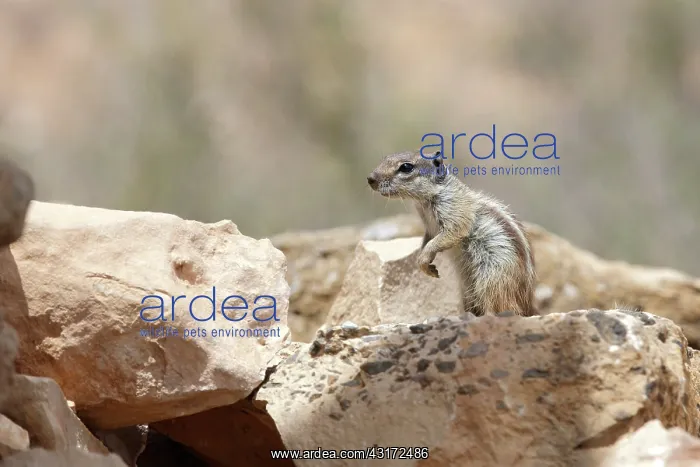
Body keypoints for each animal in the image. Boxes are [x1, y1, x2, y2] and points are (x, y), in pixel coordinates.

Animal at [366, 149, 537, 317]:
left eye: (406, 167)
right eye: (386, 158)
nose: (370, 179)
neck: (424, 202)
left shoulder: (454, 211)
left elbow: (450, 234)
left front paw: (423, 259)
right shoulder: (429, 228)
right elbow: (427, 240)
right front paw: (425, 265)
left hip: (493, 279)